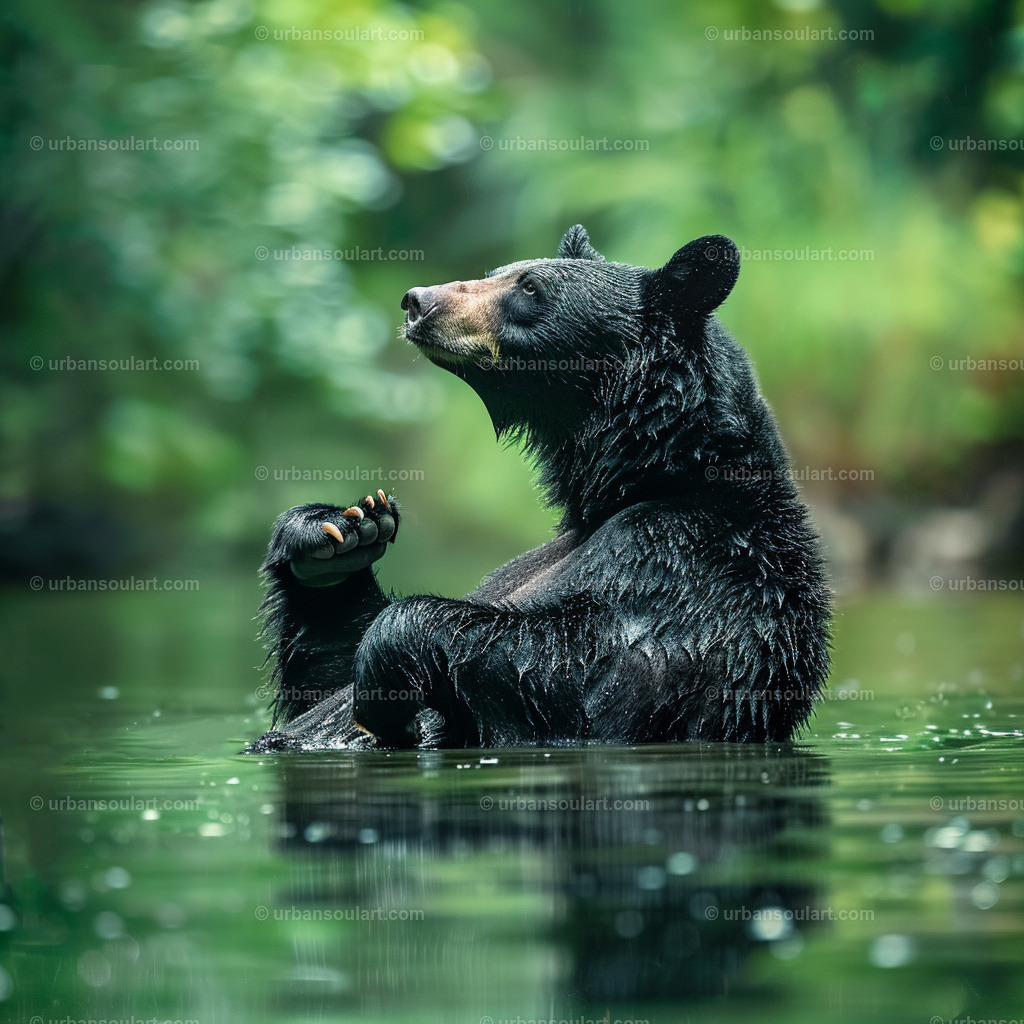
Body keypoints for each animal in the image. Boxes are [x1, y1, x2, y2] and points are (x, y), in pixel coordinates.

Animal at [246, 226, 831, 752]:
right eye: (497, 271)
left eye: (530, 287)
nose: (419, 302)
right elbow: (323, 679)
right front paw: (337, 532)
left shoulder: (689, 564)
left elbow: (583, 677)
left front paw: (384, 683)